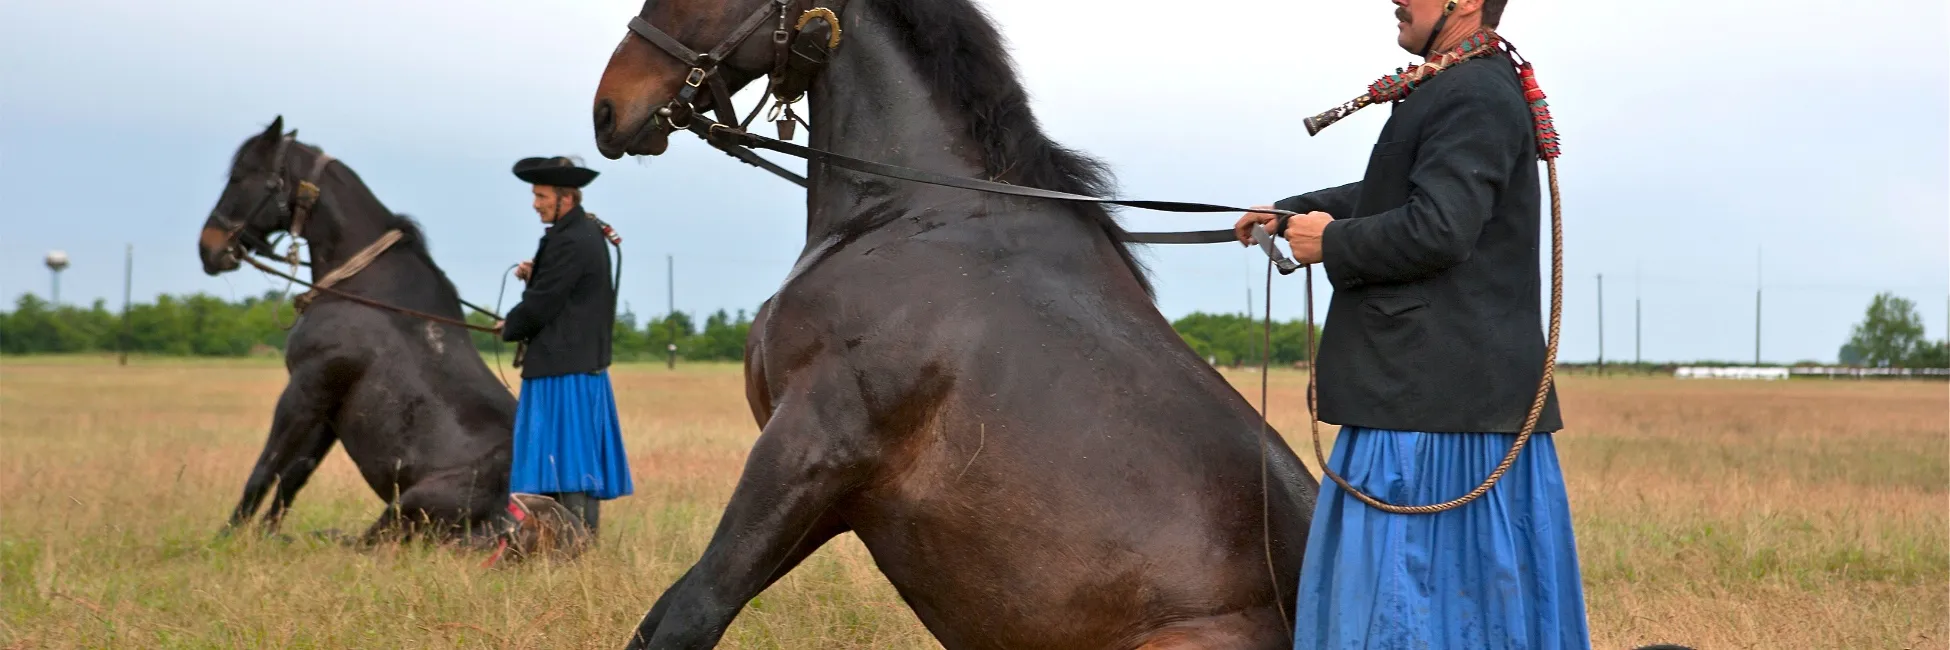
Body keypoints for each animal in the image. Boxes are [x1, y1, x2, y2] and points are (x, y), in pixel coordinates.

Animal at [198, 116, 538, 546]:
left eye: (240, 176)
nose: (208, 248)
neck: (363, 288)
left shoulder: (304, 390)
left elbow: (265, 469)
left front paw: (224, 539)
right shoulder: (329, 406)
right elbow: (295, 475)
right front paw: (267, 535)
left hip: (405, 507)